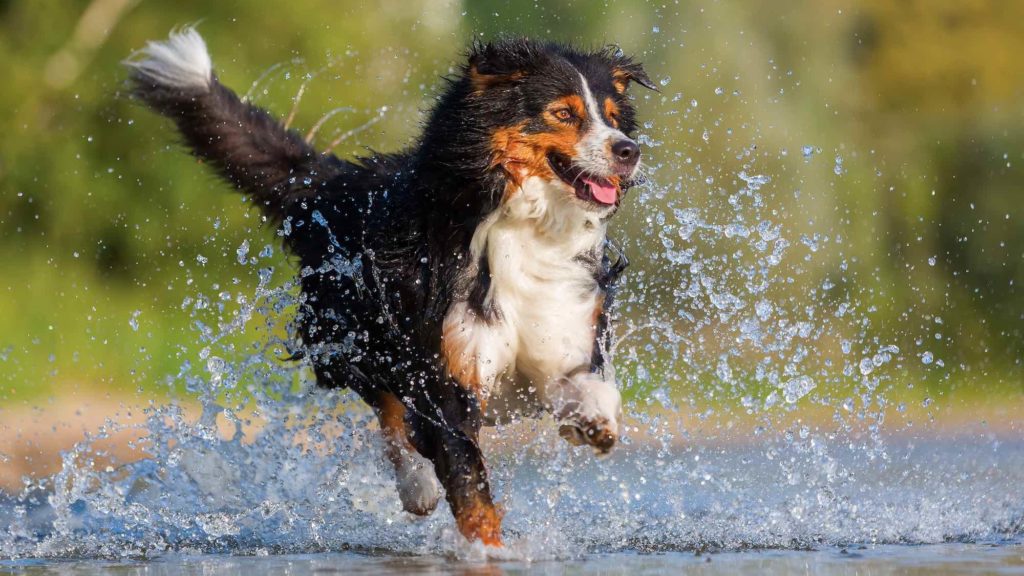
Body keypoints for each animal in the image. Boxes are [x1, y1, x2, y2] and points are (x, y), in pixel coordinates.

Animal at [125, 26, 655, 545]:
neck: (523, 223)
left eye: (613, 119)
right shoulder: (442, 373)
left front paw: (593, 421)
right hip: (354, 342)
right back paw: (416, 486)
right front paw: (486, 550)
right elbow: (468, 485)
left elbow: (592, 385)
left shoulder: (561, 329)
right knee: (390, 415)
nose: (628, 151)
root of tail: (334, 183)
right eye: (563, 113)